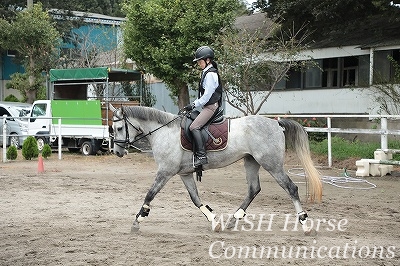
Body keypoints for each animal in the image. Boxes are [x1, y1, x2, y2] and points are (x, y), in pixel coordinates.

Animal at [109, 105, 322, 232]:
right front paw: (214, 220)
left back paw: (305, 223)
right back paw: (233, 220)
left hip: (272, 164)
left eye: (118, 128)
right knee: (253, 189)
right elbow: (196, 199)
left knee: (291, 188)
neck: (164, 132)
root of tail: (276, 123)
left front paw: (137, 221)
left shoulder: (165, 172)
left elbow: (149, 195)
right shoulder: (185, 174)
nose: (117, 151)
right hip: (251, 162)